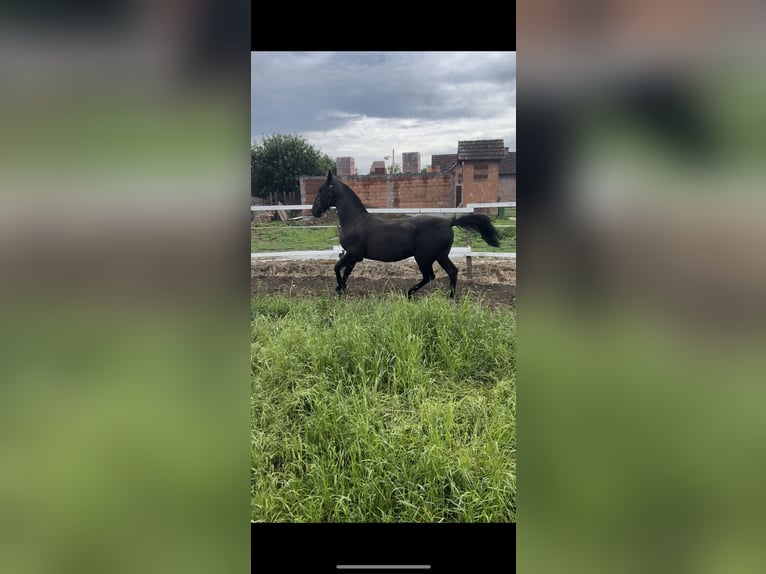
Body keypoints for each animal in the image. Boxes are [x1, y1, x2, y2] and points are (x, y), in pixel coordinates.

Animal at [314, 171, 504, 300]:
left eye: (322, 190)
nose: (314, 211)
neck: (355, 220)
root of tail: (448, 223)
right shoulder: (354, 256)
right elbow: (345, 271)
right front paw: (342, 287)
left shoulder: (354, 254)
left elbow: (338, 268)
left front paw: (341, 287)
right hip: (440, 256)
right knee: (452, 271)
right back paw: (449, 296)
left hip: (424, 258)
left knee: (429, 276)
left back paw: (409, 293)